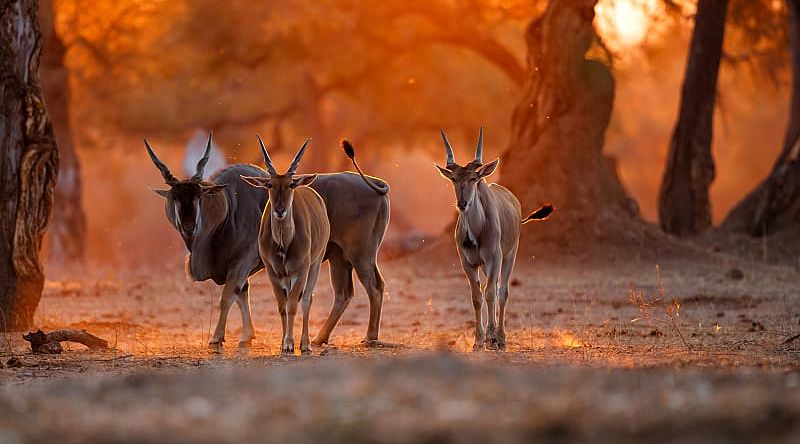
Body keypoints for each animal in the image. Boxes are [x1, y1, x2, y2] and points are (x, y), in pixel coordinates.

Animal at [244, 138, 332, 354]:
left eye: (291, 184)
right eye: (270, 184)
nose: (280, 210)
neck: (283, 243)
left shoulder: (301, 270)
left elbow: (293, 305)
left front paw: (291, 343)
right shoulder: (273, 271)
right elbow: (281, 305)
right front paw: (284, 343)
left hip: (315, 264)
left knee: (307, 299)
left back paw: (306, 344)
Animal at [434, 127, 552, 350]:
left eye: (473, 178)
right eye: (454, 179)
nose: (462, 203)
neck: (476, 231)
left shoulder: (494, 258)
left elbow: (490, 294)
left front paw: (492, 338)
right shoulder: (468, 263)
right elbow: (477, 297)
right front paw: (479, 340)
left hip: (509, 256)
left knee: (502, 292)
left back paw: (501, 337)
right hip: (486, 265)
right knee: (494, 289)